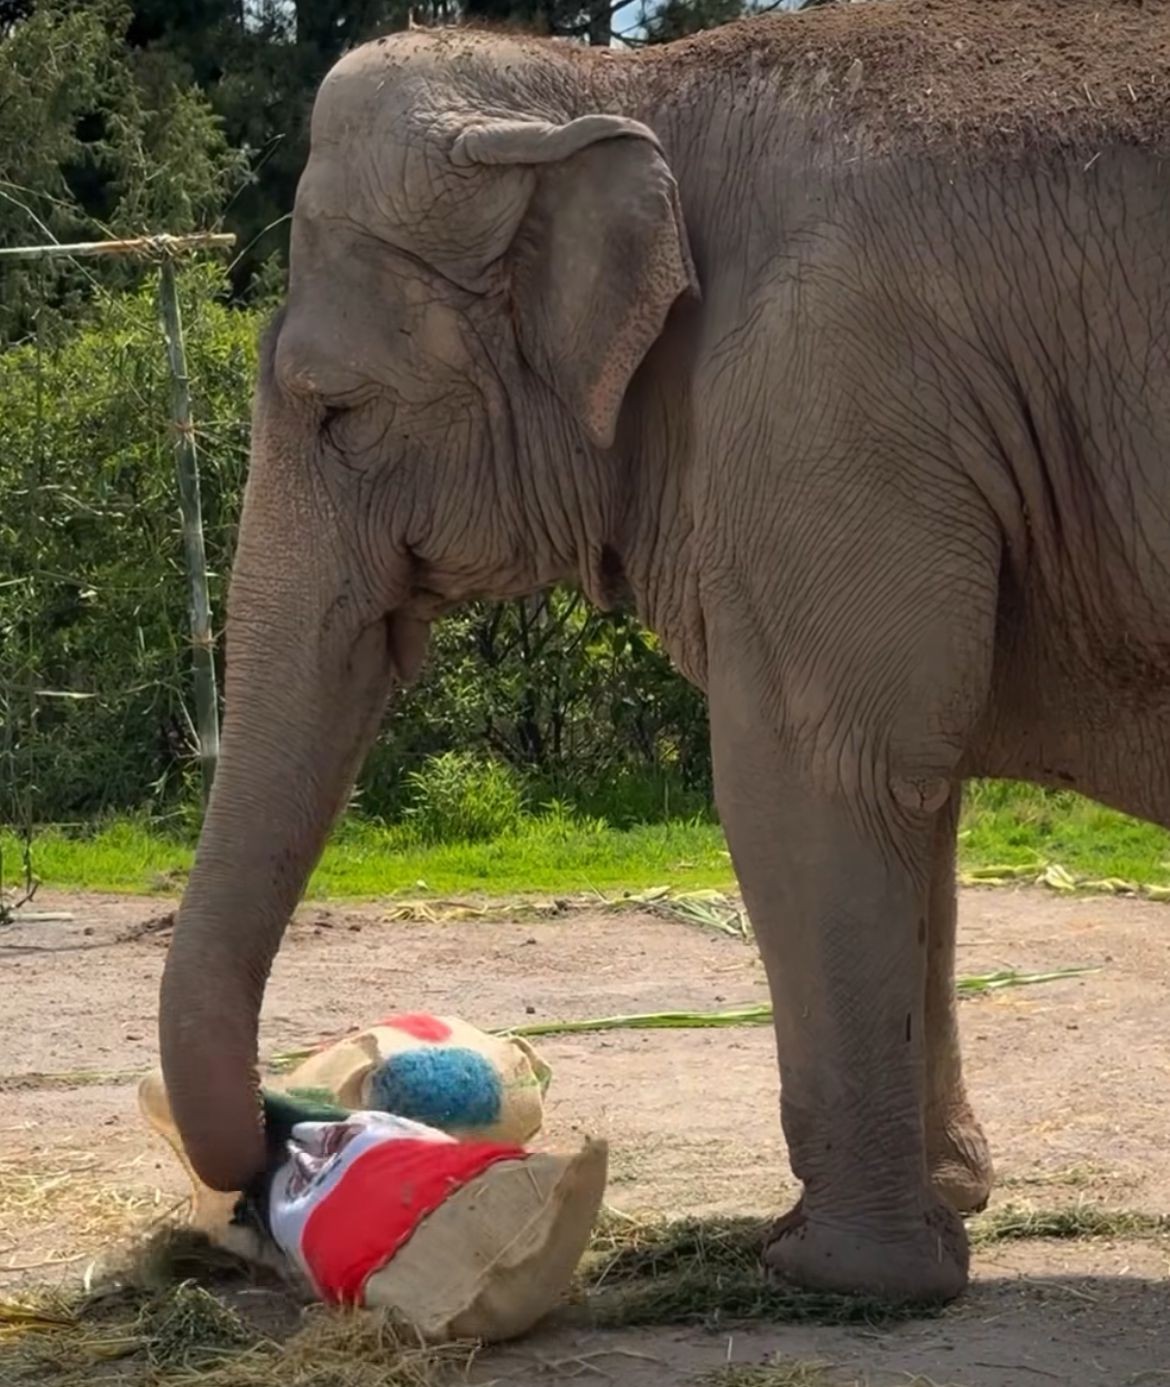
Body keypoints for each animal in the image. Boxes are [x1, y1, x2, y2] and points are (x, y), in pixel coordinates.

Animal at [158, 0, 1170, 1306]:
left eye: (336, 408)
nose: (279, 1153)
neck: (627, 86)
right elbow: (915, 794)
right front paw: (949, 1205)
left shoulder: (820, 399)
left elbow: (814, 776)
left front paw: (832, 1272)